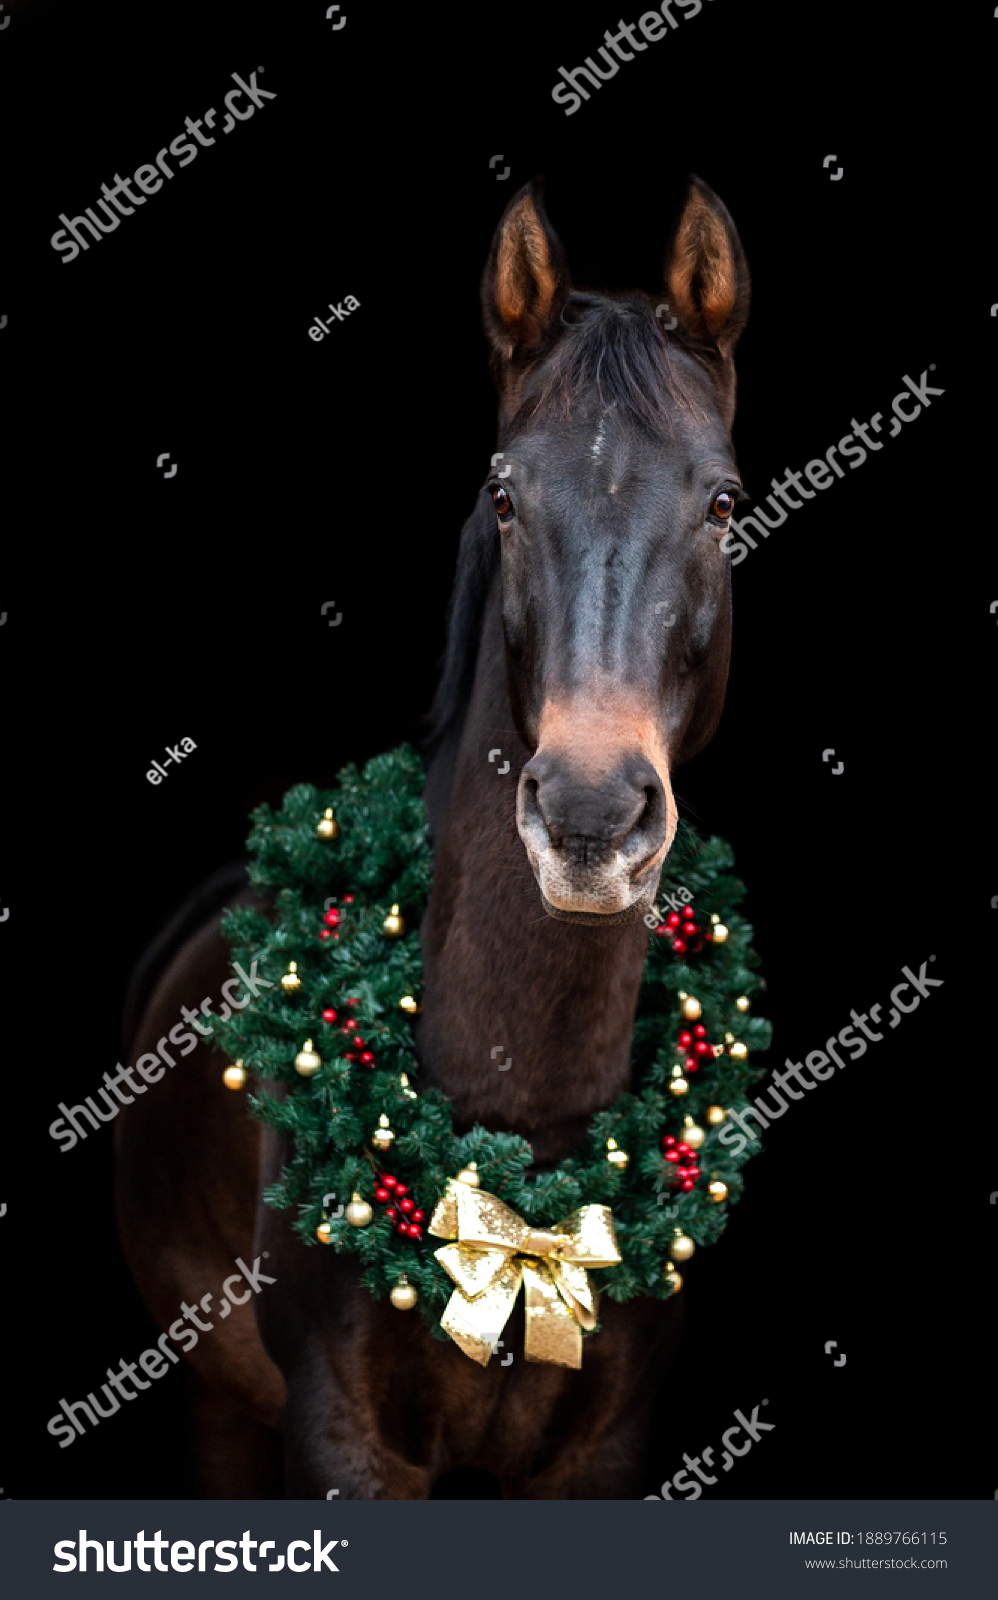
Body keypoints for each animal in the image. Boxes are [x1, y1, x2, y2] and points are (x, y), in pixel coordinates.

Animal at [115, 175, 748, 1497]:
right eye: (503, 495)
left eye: (721, 502)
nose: (588, 817)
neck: (525, 1148)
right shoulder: (344, 1437)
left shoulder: (602, 1448)